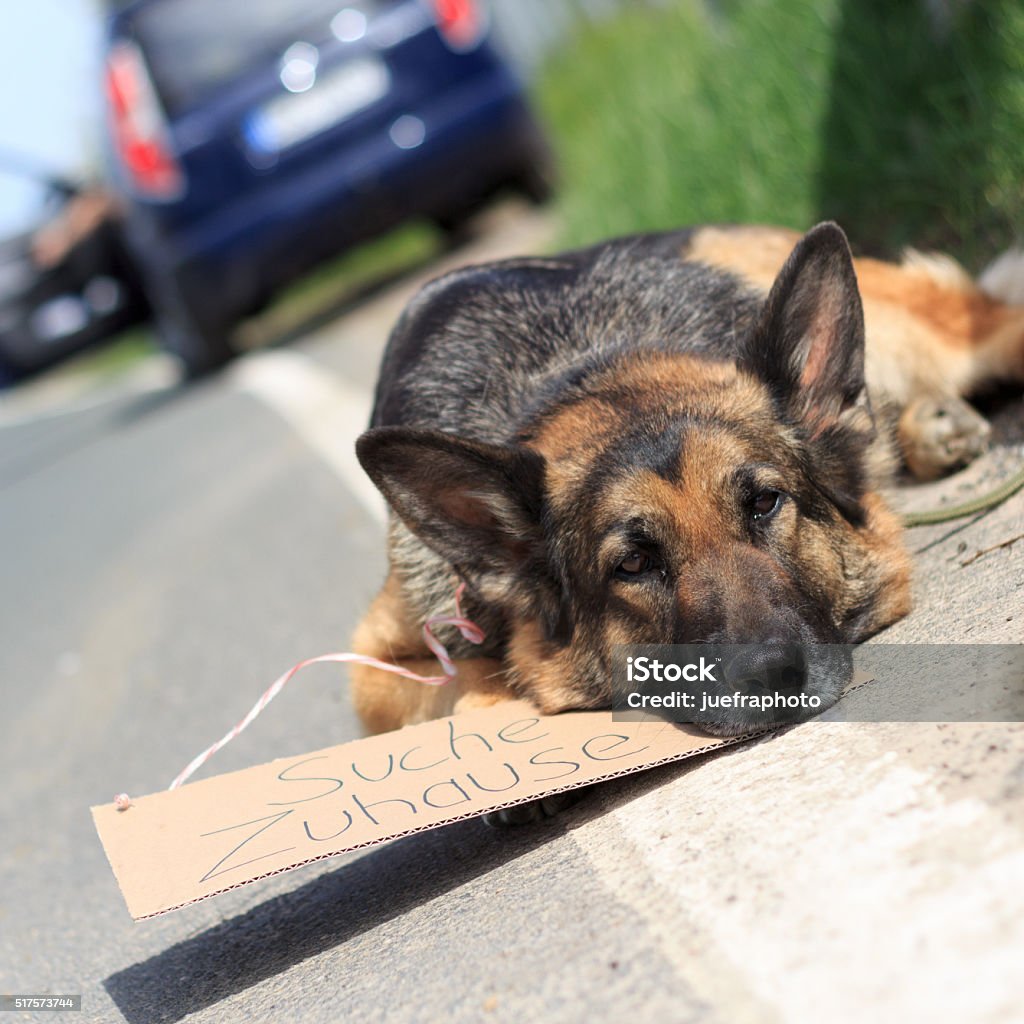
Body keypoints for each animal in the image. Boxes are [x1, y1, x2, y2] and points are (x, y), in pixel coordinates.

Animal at [350, 224, 1024, 753]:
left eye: (764, 504)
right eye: (633, 563)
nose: (772, 677)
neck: (581, 370)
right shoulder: (376, 664)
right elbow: (467, 681)